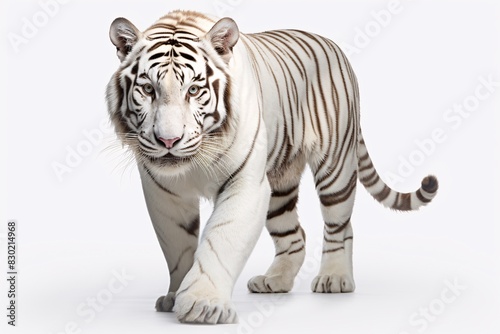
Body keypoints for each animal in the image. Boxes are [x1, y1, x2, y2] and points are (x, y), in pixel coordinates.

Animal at [105, 9, 438, 324]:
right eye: (148, 90)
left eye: (194, 91)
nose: (168, 140)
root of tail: (332, 45)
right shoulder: (164, 192)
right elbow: (178, 249)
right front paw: (175, 296)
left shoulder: (245, 184)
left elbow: (220, 241)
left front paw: (204, 305)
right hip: (279, 185)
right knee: (295, 234)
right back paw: (276, 280)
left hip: (336, 167)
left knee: (340, 225)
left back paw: (334, 277)